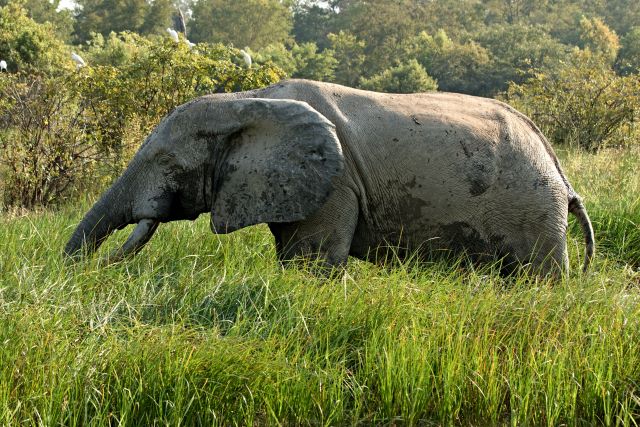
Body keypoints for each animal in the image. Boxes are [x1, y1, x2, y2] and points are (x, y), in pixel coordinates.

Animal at [65, 79, 594, 275]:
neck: (250, 100)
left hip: (531, 207)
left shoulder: (333, 186)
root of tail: (561, 173)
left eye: (170, 164)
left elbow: (312, 263)